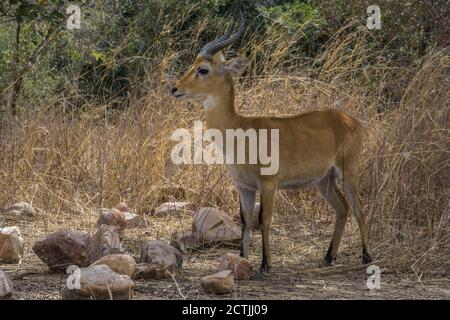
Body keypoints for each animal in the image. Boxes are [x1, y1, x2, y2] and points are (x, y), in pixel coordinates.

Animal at [171, 15, 372, 274]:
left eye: (203, 69)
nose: (175, 88)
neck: (240, 129)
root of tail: (352, 120)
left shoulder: (268, 184)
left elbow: (263, 220)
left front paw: (265, 265)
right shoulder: (244, 187)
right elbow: (245, 221)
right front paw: (242, 260)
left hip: (348, 172)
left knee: (359, 208)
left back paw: (367, 256)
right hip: (323, 180)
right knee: (343, 208)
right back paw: (329, 257)